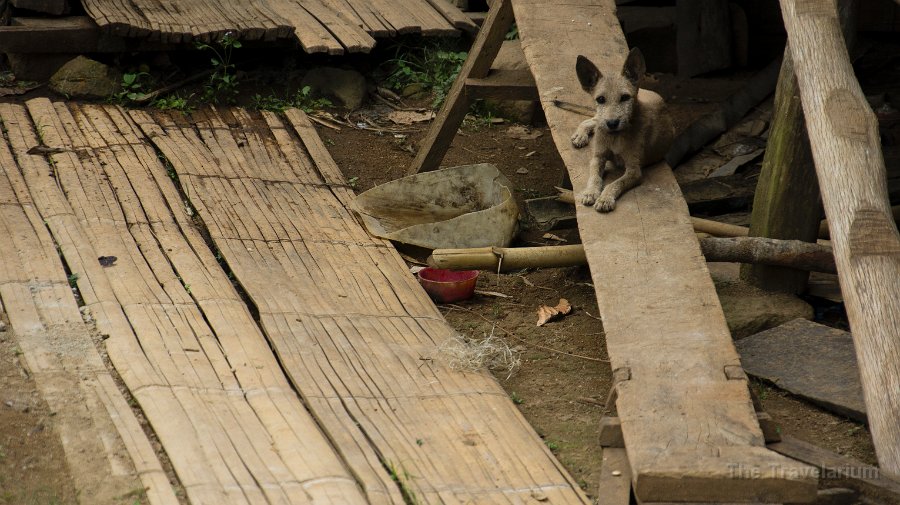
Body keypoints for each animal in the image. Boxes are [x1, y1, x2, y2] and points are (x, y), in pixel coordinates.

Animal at [568, 48, 668, 212]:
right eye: (600, 99)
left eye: (625, 97)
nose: (612, 123)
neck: (615, 137)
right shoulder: (597, 157)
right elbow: (594, 177)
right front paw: (590, 192)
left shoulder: (634, 171)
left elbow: (615, 183)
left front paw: (604, 198)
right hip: (600, 118)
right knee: (593, 120)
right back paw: (580, 135)